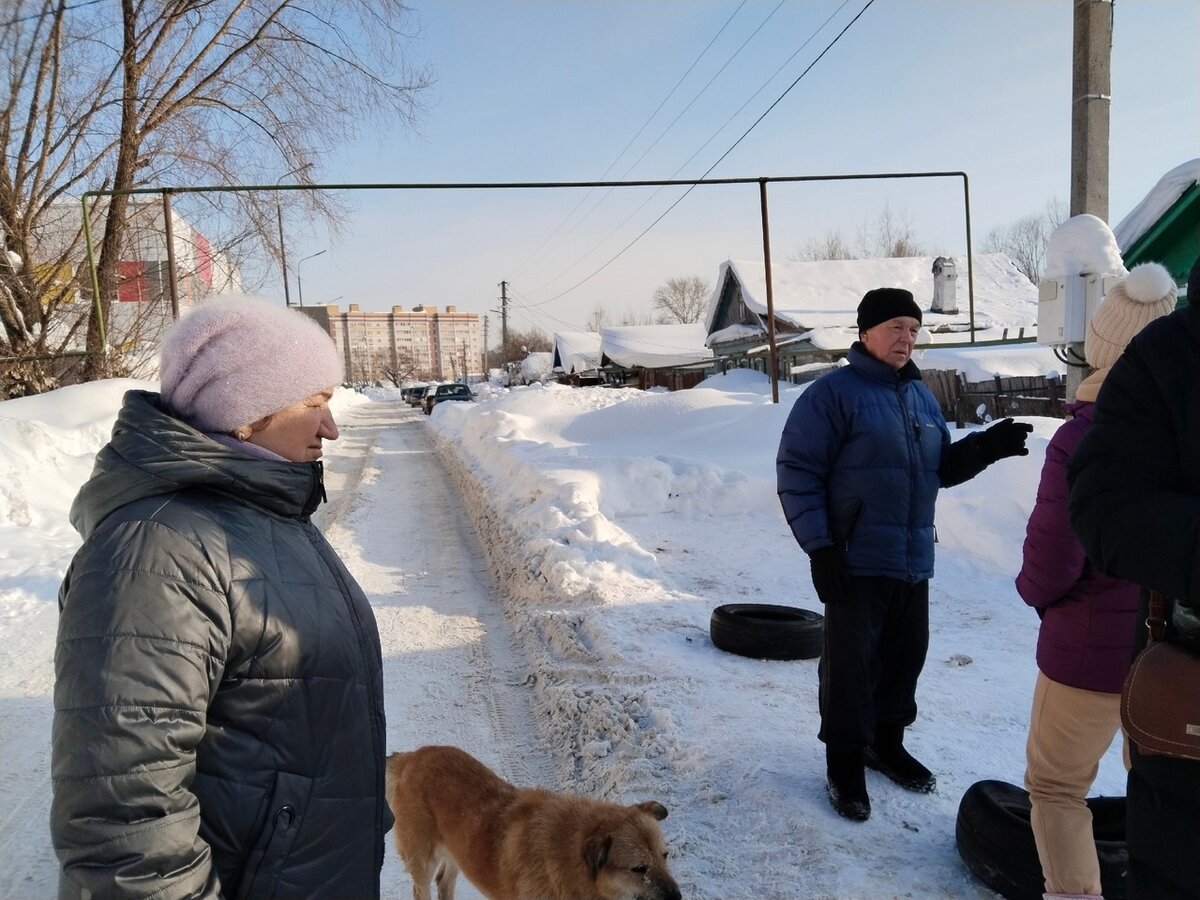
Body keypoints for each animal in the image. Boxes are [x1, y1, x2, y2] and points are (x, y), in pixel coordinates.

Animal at [388, 748, 681, 900]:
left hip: (458, 850)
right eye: (638, 868)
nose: (678, 898)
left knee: (444, 881)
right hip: (422, 860)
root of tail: (410, 757)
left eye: (665, 856)